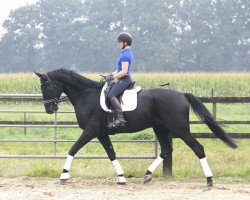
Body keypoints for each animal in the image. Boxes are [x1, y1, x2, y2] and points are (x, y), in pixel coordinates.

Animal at [34, 68, 236, 186]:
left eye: (46, 87)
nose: (49, 110)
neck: (87, 96)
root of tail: (182, 95)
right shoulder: (101, 133)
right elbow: (111, 153)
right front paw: (121, 178)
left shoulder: (91, 131)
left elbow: (73, 149)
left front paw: (64, 175)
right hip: (160, 128)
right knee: (166, 149)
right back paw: (147, 175)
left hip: (180, 129)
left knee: (197, 148)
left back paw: (209, 180)